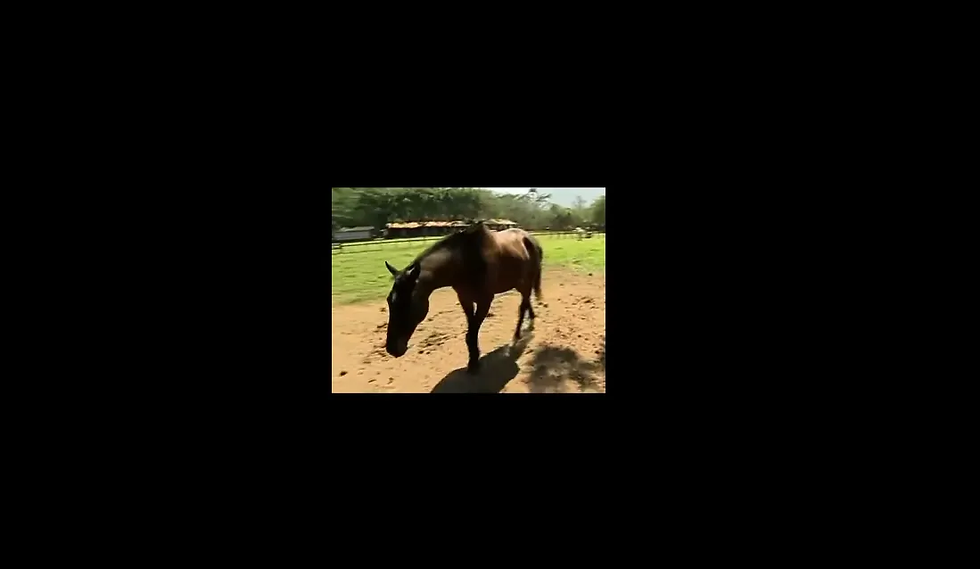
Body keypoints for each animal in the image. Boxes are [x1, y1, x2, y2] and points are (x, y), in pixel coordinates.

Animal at [382, 222, 544, 374]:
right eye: (389, 301)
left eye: (407, 303)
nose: (392, 348)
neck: (466, 262)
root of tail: (530, 239)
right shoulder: (465, 299)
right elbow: (470, 332)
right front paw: (473, 359)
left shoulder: (485, 301)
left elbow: (472, 333)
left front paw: (474, 363)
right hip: (520, 283)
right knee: (526, 301)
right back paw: (531, 318)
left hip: (525, 283)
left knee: (522, 306)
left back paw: (517, 335)